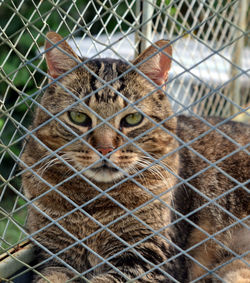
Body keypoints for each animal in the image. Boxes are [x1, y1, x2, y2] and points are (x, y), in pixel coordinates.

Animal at [22, 31, 250, 283]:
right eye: (78, 117)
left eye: (132, 119)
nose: (105, 149)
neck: (94, 202)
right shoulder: (55, 255)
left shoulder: (150, 258)